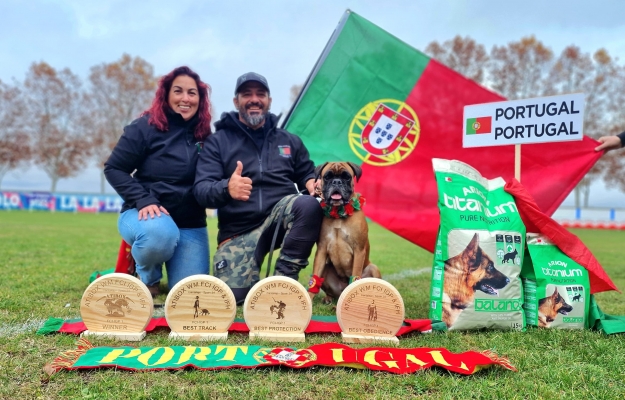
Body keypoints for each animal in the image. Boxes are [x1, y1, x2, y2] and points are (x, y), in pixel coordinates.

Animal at [310, 162, 382, 304]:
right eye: (327, 177)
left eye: (347, 177)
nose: (337, 181)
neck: (339, 213)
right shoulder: (321, 250)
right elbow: (314, 279)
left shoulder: (359, 250)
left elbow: (355, 275)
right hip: (326, 268)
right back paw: (328, 299)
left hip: (373, 268)